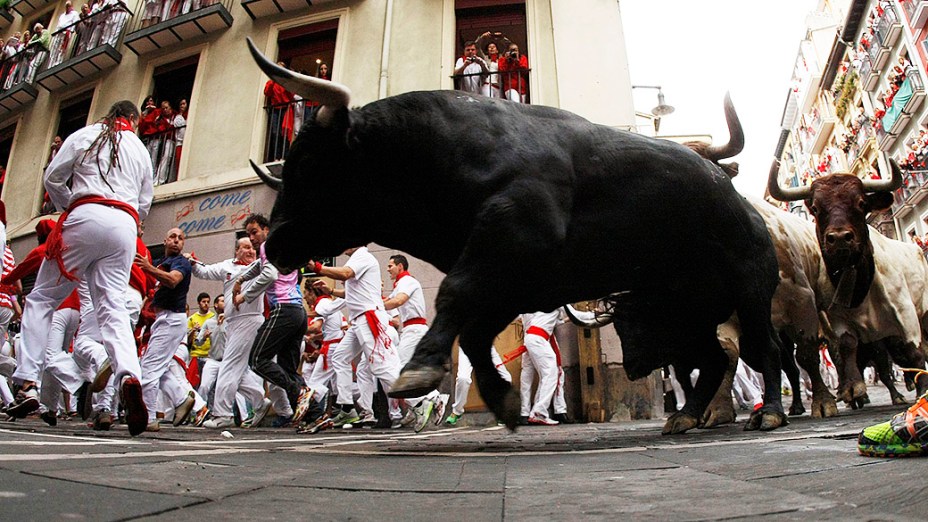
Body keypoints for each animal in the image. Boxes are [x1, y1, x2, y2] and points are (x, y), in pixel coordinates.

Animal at [248, 38, 792, 430]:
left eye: (310, 163)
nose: (274, 244)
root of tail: (741, 202)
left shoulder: (511, 239)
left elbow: (453, 296)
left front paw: (420, 369)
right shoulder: (513, 283)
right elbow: (472, 334)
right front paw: (502, 400)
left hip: (749, 289)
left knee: (764, 348)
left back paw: (769, 413)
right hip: (686, 309)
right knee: (711, 359)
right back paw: (686, 417)